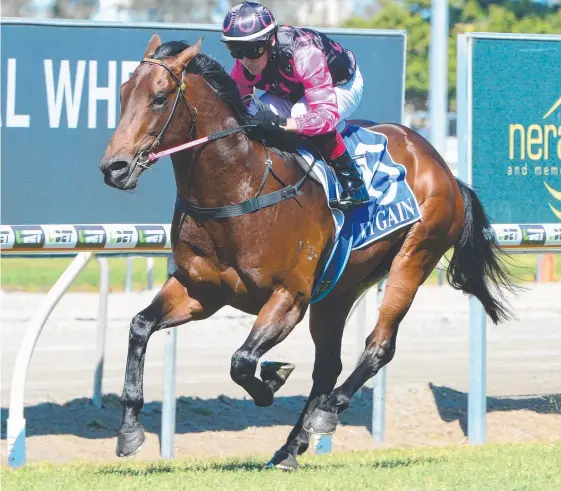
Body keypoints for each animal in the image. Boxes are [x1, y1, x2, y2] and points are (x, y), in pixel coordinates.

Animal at [99, 35, 512, 472]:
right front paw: (129, 430)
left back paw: (325, 413)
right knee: (328, 365)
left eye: (159, 98)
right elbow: (140, 326)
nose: (114, 167)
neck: (240, 187)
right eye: (123, 93)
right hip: (338, 290)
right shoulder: (200, 290)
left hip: (413, 258)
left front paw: (272, 379)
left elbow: (242, 361)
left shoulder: (289, 296)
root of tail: (441, 165)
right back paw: (289, 448)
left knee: (378, 346)